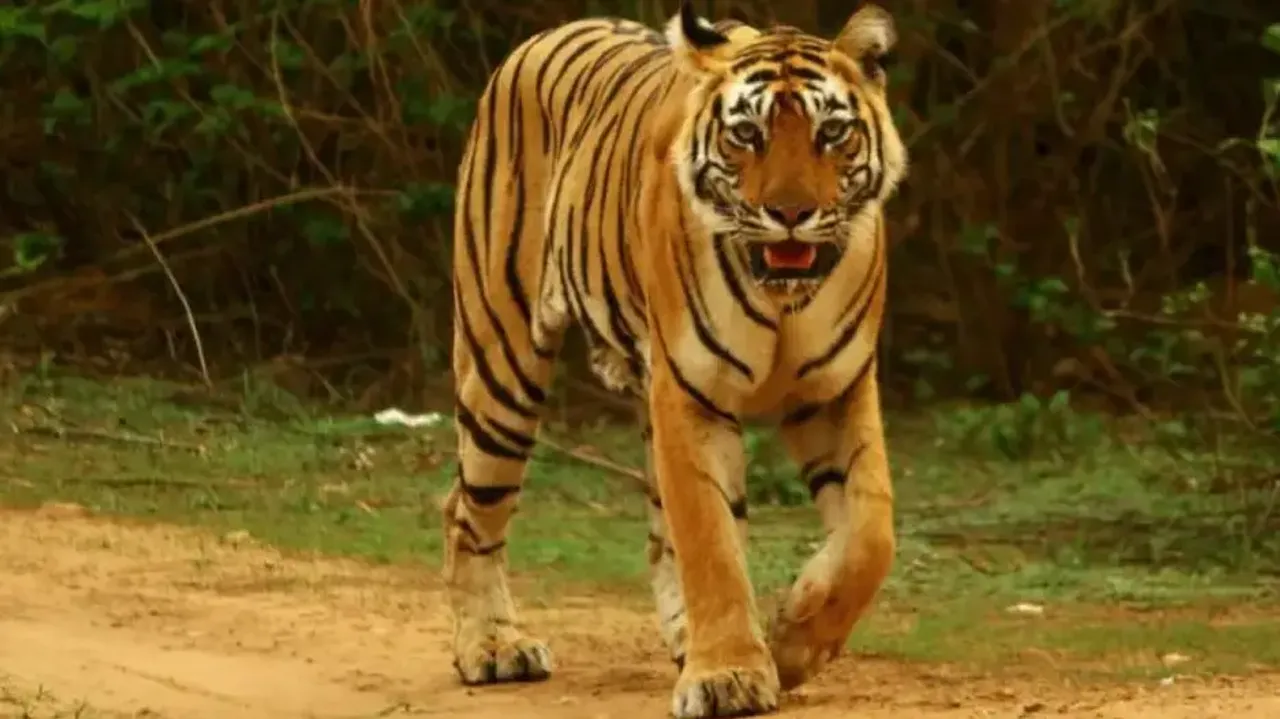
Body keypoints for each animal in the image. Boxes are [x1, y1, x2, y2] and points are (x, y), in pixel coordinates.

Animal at [442, 1, 908, 716]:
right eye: (747, 134)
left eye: (832, 132)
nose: (792, 213)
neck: (782, 299)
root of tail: (544, 35)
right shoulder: (691, 394)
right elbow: (710, 541)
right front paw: (729, 674)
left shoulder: (835, 392)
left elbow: (871, 534)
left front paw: (793, 639)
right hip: (502, 365)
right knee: (470, 513)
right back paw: (493, 647)